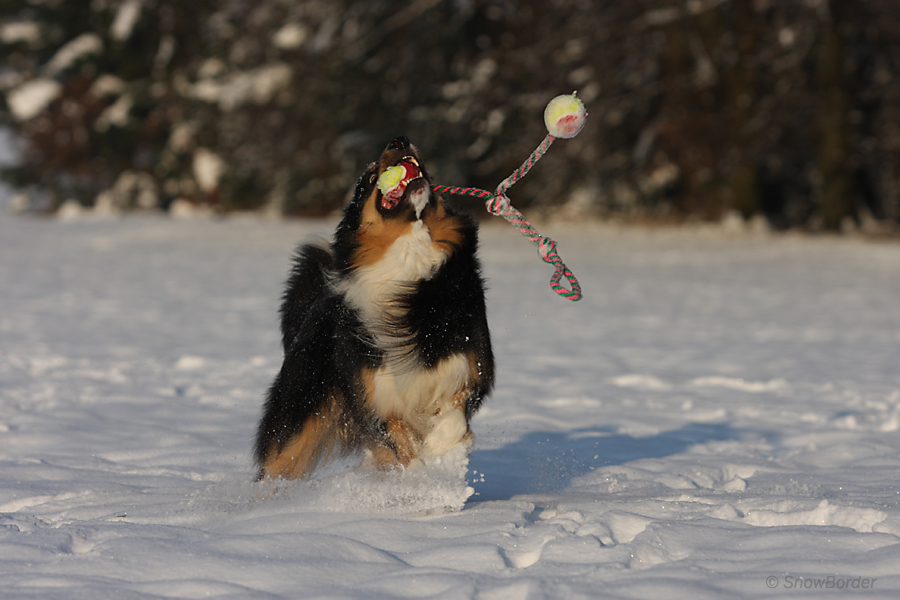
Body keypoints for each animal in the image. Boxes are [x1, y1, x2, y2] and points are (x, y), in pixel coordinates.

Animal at [253, 134, 496, 480]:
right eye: (369, 179)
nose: (399, 140)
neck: (408, 257)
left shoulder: (470, 370)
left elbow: (453, 416)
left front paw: (440, 449)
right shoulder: (374, 400)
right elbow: (399, 440)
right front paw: (420, 476)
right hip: (300, 414)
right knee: (276, 468)